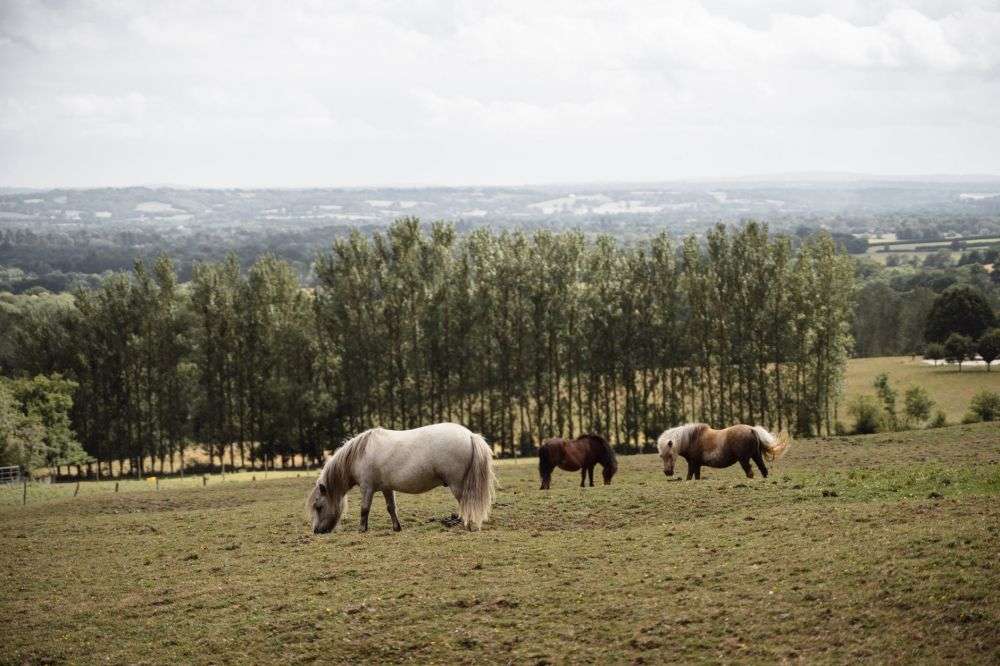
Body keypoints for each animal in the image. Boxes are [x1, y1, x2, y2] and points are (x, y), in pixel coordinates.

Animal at [304, 422, 492, 532]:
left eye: (318, 507)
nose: (316, 531)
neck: (360, 454)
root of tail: (470, 435)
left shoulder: (367, 488)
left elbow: (364, 509)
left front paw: (362, 529)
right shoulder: (387, 488)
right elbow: (391, 508)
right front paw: (396, 527)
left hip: (457, 484)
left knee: (465, 502)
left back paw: (466, 524)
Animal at [656, 426, 788, 478]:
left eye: (670, 455)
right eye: (661, 456)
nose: (667, 472)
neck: (692, 438)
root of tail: (752, 429)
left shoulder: (693, 464)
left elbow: (689, 477)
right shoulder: (697, 465)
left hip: (744, 460)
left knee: (750, 473)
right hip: (756, 456)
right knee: (763, 470)